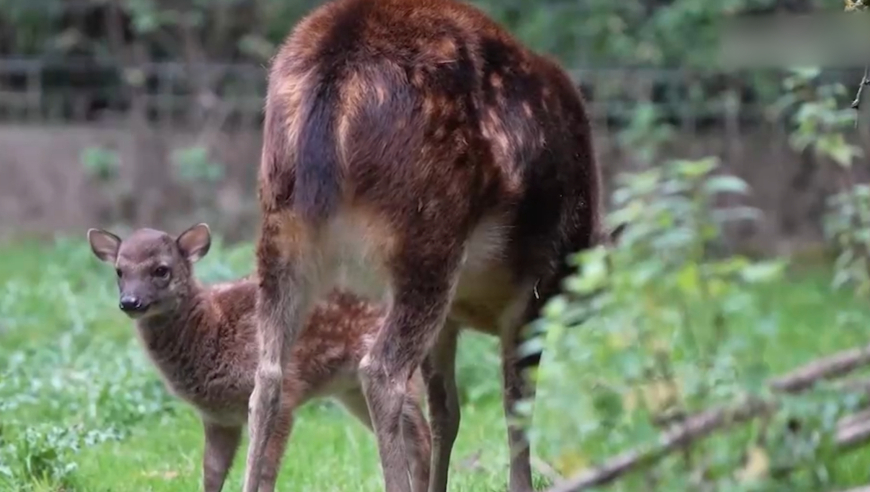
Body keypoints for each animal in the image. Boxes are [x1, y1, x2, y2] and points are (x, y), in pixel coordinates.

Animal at [242, 0, 604, 490]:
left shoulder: (452, 321)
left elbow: (447, 412)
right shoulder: (534, 291)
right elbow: (515, 406)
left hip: (281, 232)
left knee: (268, 376)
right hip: (428, 233)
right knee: (381, 372)